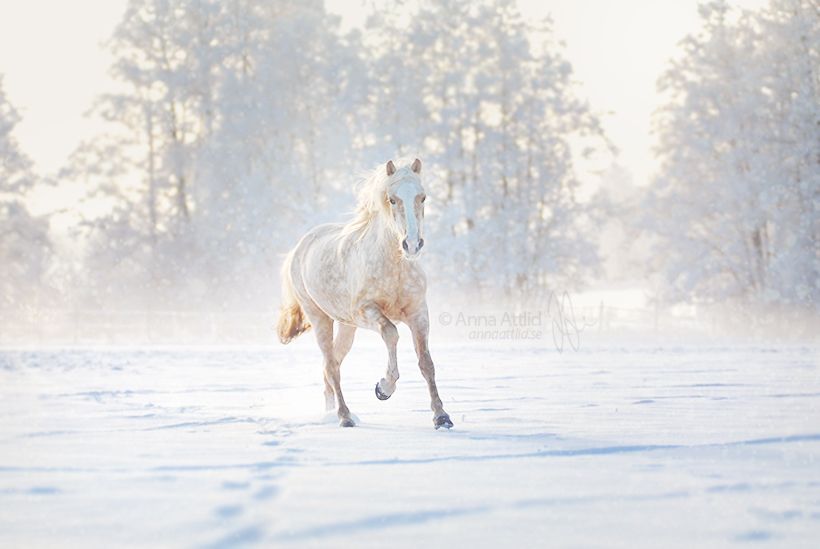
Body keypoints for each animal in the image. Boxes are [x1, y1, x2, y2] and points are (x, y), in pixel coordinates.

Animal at [278, 157, 452, 428]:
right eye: (392, 199)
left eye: (422, 197)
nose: (412, 245)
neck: (394, 266)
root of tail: (300, 247)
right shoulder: (366, 311)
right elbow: (391, 333)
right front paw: (384, 388)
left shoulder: (418, 313)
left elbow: (426, 362)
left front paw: (441, 416)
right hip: (320, 319)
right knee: (331, 366)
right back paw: (344, 417)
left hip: (346, 326)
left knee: (331, 365)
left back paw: (331, 413)